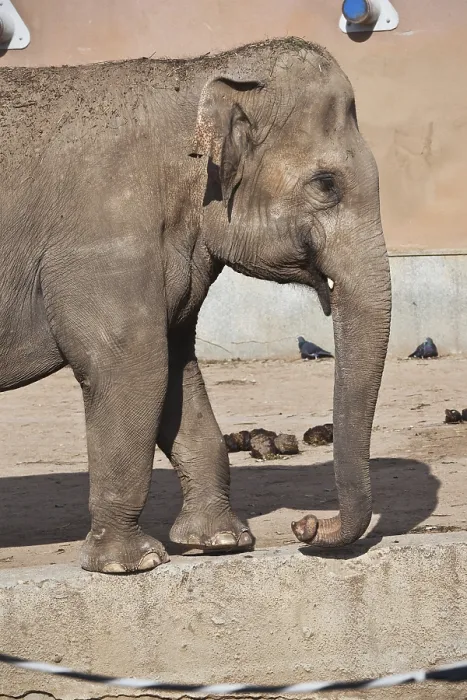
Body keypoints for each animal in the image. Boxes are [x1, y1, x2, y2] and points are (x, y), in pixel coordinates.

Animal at [0, 37, 391, 573]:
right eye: (326, 185)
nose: (305, 527)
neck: (197, 76)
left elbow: (176, 370)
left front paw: (222, 541)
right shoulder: (104, 244)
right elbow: (133, 366)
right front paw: (131, 564)